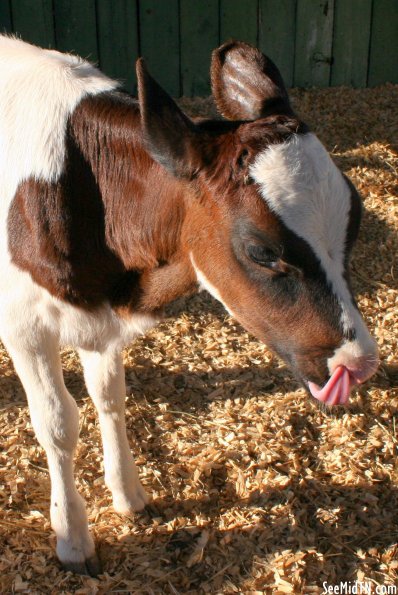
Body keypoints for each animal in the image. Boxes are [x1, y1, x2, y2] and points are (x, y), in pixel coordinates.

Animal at [0, 36, 378, 572]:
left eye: (356, 222)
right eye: (263, 252)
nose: (360, 363)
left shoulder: (102, 321)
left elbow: (109, 397)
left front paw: (128, 494)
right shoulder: (23, 326)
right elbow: (56, 423)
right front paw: (72, 536)